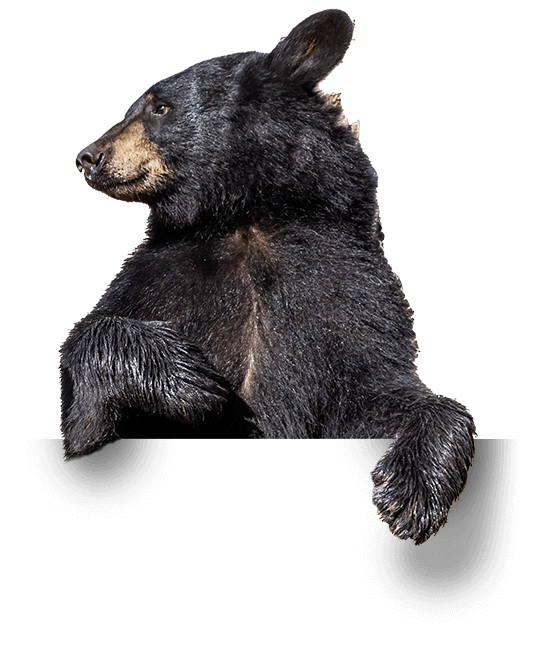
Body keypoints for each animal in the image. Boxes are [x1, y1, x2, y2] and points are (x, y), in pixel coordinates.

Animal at [62, 8, 475, 543]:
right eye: (142, 106)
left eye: (160, 107)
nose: (88, 157)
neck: (245, 220)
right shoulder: (157, 279)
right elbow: (86, 405)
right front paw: (188, 378)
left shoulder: (348, 287)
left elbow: (381, 387)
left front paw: (410, 495)